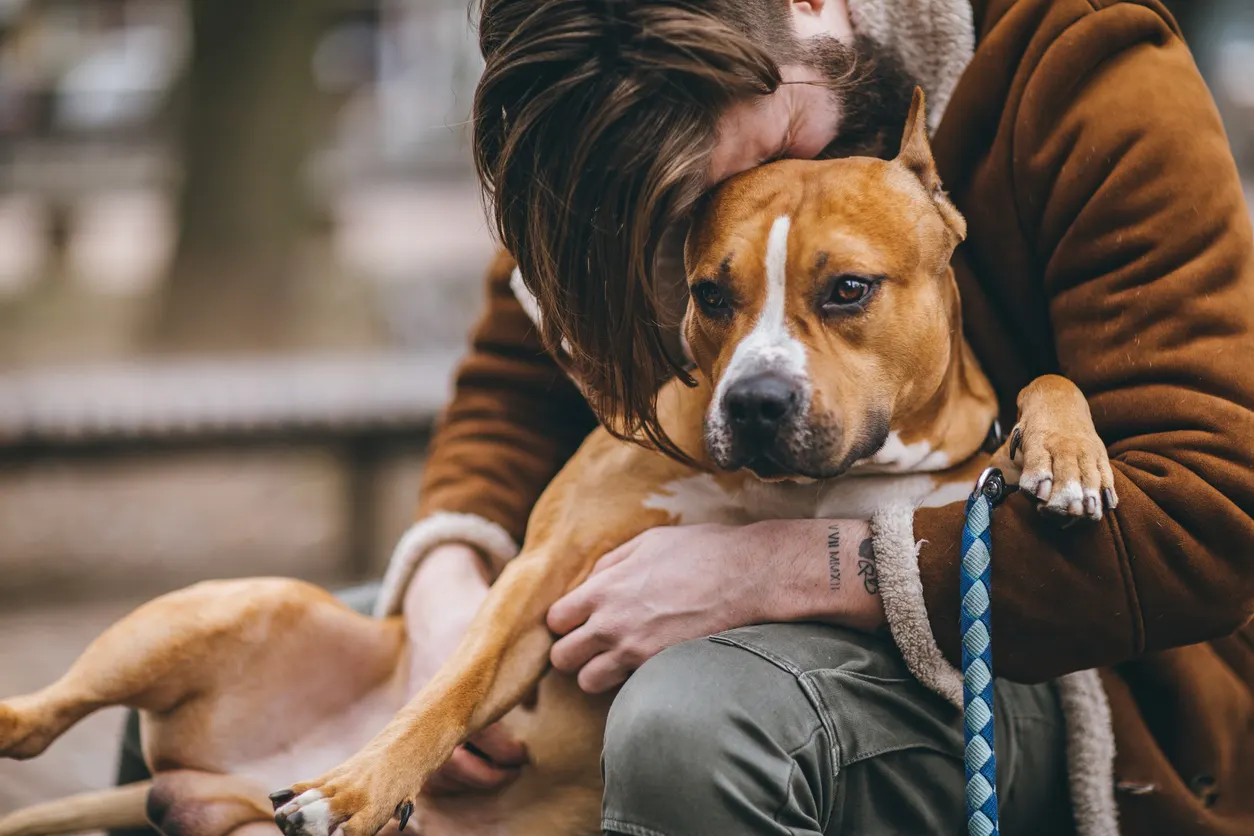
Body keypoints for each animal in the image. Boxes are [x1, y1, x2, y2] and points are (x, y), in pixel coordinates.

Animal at [0, 91, 1118, 836]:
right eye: (710, 293)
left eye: (847, 288)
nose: (753, 403)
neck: (794, 485)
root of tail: (222, 777)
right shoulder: (545, 577)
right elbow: (449, 690)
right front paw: (356, 785)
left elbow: (1048, 377)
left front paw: (1068, 453)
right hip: (214, 608)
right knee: (42, 716)